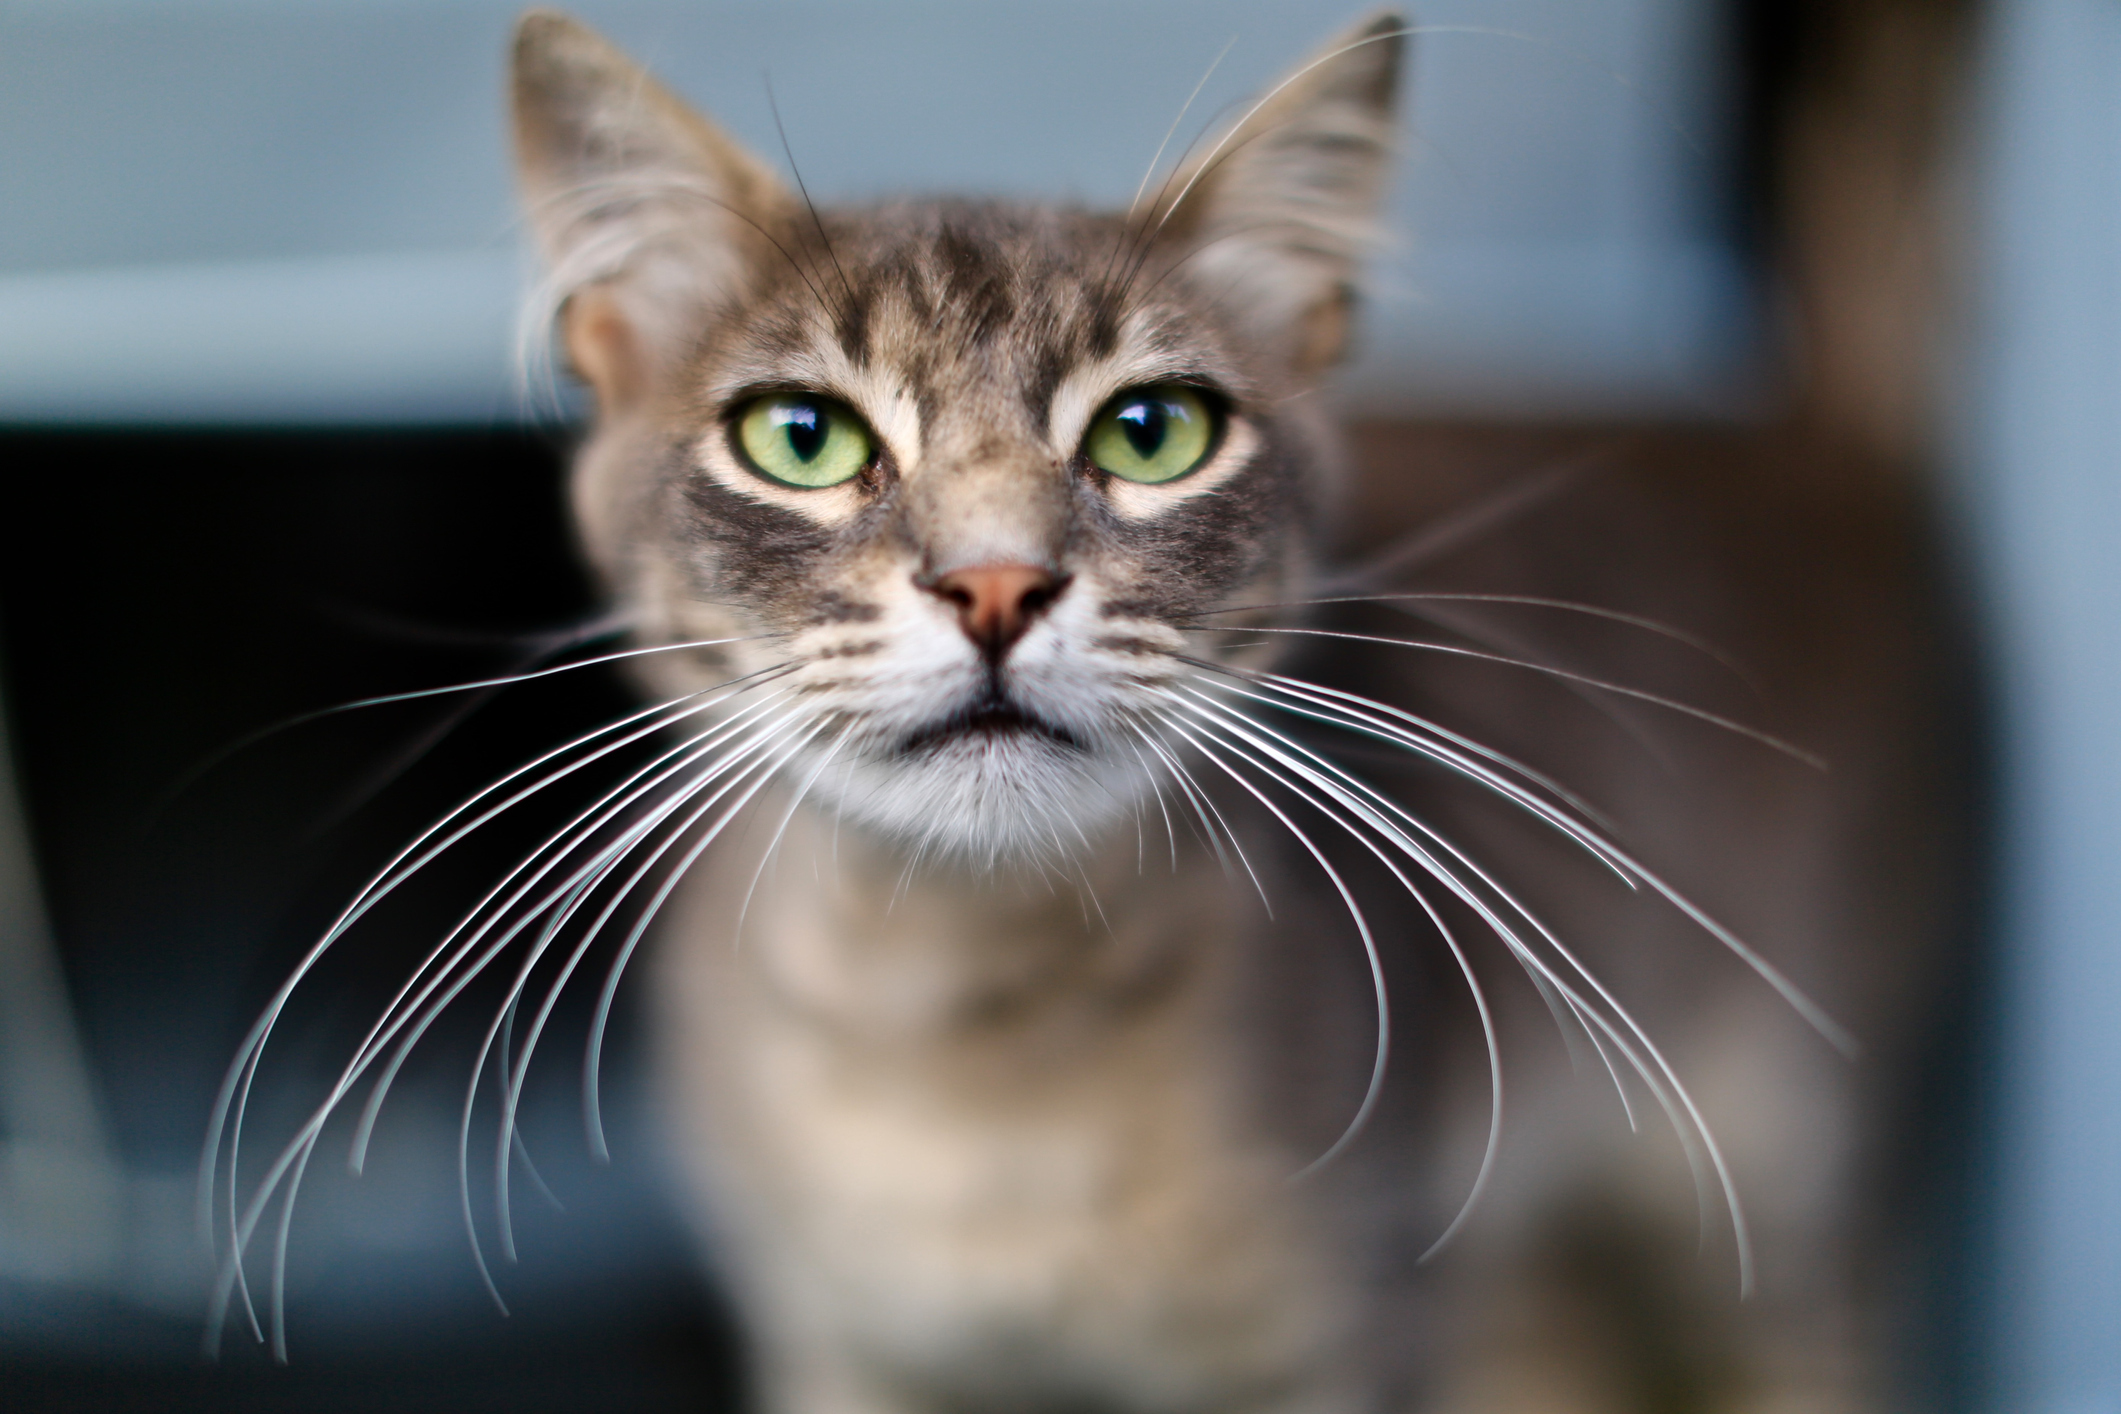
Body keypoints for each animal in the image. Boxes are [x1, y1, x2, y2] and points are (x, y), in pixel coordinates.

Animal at [199, 11, 1951, 1414]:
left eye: (1153, 430)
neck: (960, 1029)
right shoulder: (842, 1344)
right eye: (800, 437)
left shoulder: (1353, 1319)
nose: (994, 583)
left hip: (1781, 1176)